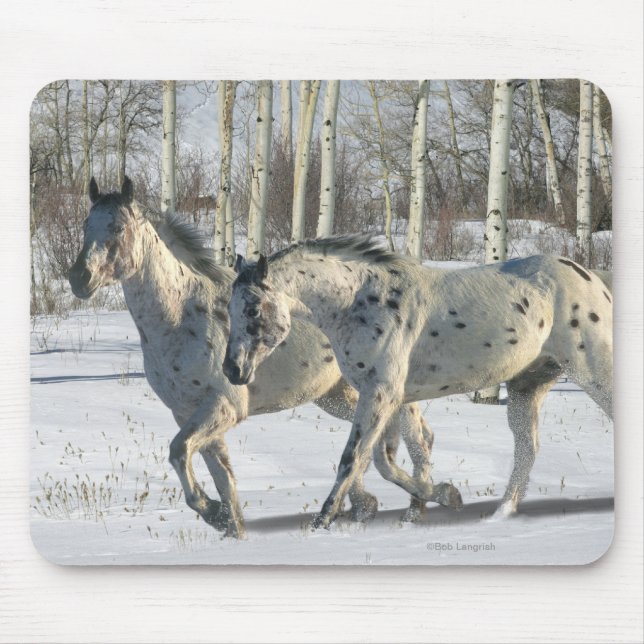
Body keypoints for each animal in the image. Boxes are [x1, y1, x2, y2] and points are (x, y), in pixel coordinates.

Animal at [68, 178, 461, 538]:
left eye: (118, 227)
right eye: (86, 225)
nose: (79, 278)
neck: (181, 318)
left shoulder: (224, 407)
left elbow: (179, 452)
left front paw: (213, 513)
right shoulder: (188, 412)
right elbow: (222, 478)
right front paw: (229, 526)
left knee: (418, 437)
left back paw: (422, 507)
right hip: (340, 395)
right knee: (387, 439)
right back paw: (375, 506)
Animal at [223, 235, 613, 529]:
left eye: (253, 310)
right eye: (228, 310)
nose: (232, 370)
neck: (360, 303)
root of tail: (593, 280)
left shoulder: (381, 393)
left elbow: (354, 457)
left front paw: (323, 521)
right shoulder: (388, 397)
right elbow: (384, 459)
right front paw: (442, 495)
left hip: (592, 371)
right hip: (527, 385)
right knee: (527, 449)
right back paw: (500, 516)